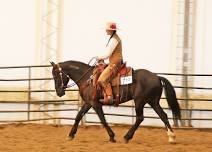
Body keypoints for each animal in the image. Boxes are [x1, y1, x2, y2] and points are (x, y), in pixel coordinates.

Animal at [50, 60, 181, 143]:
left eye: (56, 76)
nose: (59, 92)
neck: (88, 79)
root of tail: (157, 77)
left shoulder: (95, 104)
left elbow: (103, 120)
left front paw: (112, 137)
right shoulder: (88, 103)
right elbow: (78, 116)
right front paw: (70, 135)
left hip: (140, 102)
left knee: (140, 118)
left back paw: (127, 137)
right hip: (153, 102)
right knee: (163, 115)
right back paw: (172, 137)